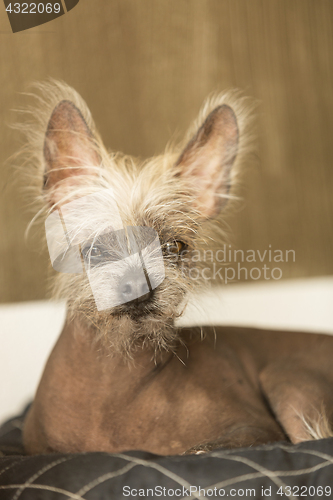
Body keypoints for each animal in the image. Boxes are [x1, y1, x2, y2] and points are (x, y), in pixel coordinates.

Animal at [20, 80, 332, 456]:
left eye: (174, 247)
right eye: (95, 249)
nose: (138, 283)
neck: (115, 376)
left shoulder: (254, 429)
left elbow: (201, 449)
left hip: (286, 377)